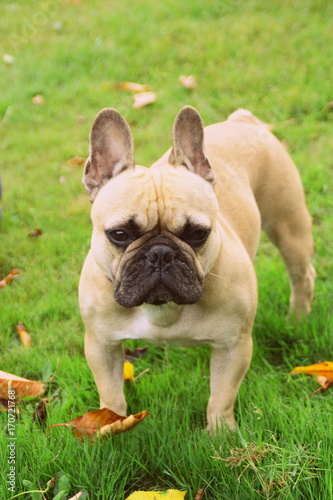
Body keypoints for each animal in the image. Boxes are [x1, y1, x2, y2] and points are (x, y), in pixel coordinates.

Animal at [78, 104, 314, 430]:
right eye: (120, 234)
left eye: (198, 234)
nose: (161, 253)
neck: (163, 309)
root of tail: (241, 121)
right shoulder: (102, 345)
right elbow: (111, 395)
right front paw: (112, 426)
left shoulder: (233, 346)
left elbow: (221, 397)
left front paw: (221, 434)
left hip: (289, 228)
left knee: (302, 276)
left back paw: (297, 320)